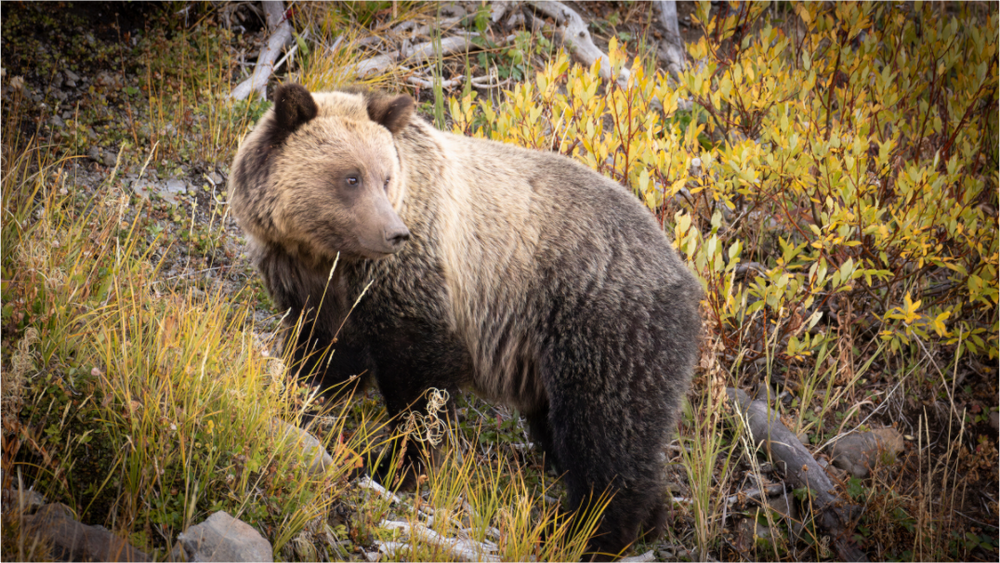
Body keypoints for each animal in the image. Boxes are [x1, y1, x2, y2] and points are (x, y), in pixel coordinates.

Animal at [229, 83, 701, 560]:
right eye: (351, 177)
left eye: (385, 177)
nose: (393, 233)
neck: (326, 255)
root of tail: (683, 272)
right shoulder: (308, 283)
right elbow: (324, 353)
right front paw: (301, 393)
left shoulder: (418, 279)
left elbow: (421, 385)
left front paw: (398, 464)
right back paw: (643, 522)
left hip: (601, 323)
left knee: (604, 427)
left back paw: (585, 531)